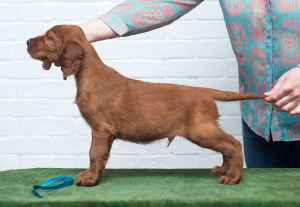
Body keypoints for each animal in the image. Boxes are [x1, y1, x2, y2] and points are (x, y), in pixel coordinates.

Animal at [26, 25, 264, 187]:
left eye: (48, 37)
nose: (27, 41)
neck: (89, 74)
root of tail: (205, 91)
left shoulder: (102, 129)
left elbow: (95, 154)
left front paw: (91, 179)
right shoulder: (98, 131)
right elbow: (92, 152)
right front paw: (87, 175)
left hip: (200, 130)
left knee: (233, 144)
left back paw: (234, 176)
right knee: (226, 146)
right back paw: (224, 169)